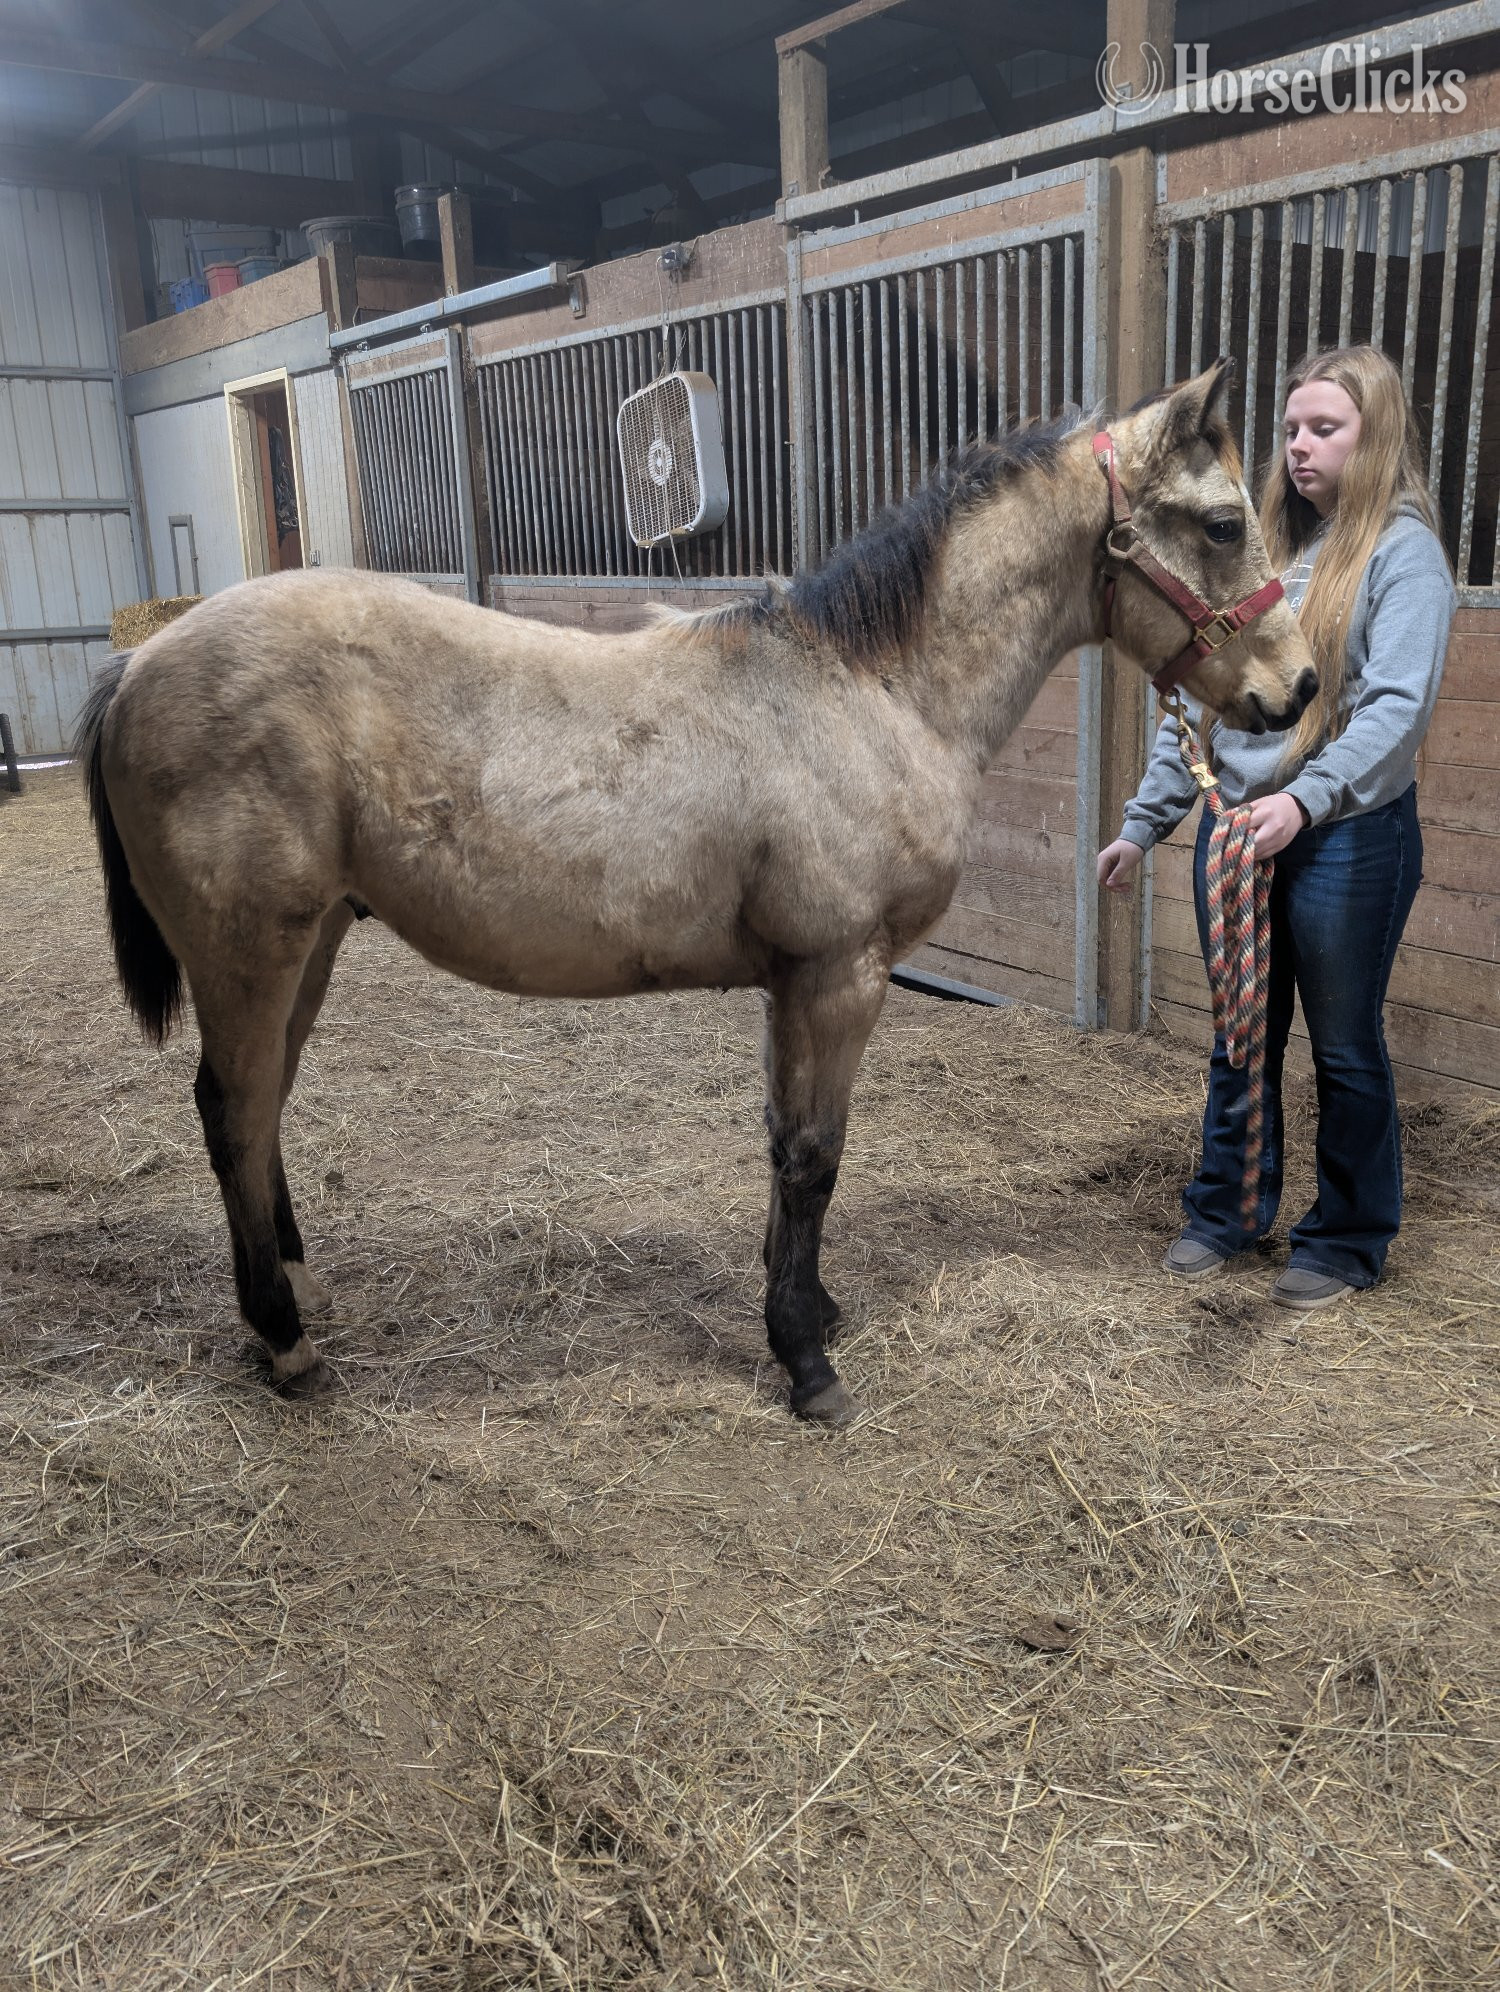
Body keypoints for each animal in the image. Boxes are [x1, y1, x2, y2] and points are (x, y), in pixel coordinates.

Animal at [75, 358, 1316, 1426]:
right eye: (1221, 522)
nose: (1297, 689)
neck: (868, 690)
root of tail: (137, 665)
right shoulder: (839, 975)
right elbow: (815, 1158)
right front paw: (808, 1366)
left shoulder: (791, 983)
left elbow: (782, 1146)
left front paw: (810, 1311)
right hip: (252, 950)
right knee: (233, 1110)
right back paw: (283, 1339)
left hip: (314, 942)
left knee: (264, 1104)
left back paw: (293, 1284)